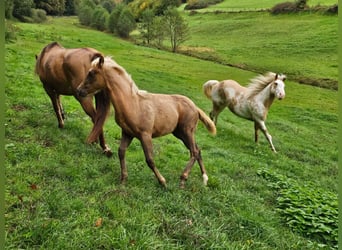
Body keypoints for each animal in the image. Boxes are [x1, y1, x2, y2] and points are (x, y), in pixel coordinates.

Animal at [77, 55, 216, 188]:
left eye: (92, 73)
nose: (79, 90)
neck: (133, 104)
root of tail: (195, 107)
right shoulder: (127, 133)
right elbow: (121, 152)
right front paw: (123, 180)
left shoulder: (145, 135)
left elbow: (150, 159)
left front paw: (163, 182)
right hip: (180, 133)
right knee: (197, 150)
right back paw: (204, 180)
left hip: (187, 131)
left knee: (194, 152)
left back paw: (183, 179)